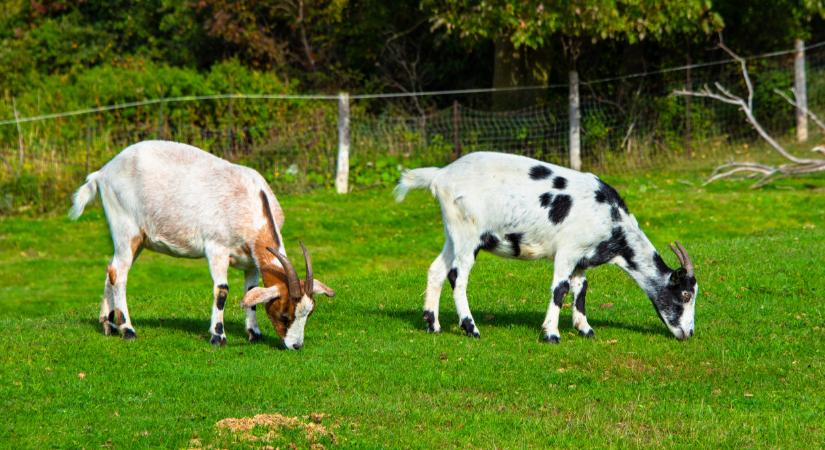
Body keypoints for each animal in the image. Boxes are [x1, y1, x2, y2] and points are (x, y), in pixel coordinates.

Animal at [67, 140, 332, 348]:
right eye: (286, 314)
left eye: (309, 313)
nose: (296, 345)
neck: (252, 204)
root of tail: (103, 173)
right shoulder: (216, 249)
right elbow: (222, 290)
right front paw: (218, 336)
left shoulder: (251, 262)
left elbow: (250, 293)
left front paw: (253, 333)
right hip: (126, 229)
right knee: (119, 274)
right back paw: (127, 330)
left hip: (138, 240)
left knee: (111, 270)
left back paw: (107, 324)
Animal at [392, 153, 696, 342]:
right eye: (685, 294)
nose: (689, 333)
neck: (612, 219)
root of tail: (440, 176)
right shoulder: (567, 251)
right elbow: (560, 289)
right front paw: (551, 334)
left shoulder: (582, 258)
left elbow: (580, 289)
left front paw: (585, 329)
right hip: (468, 233)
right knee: (458, 276)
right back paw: (471, 328)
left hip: (452, 233)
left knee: (437, 269)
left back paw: (433, 325)